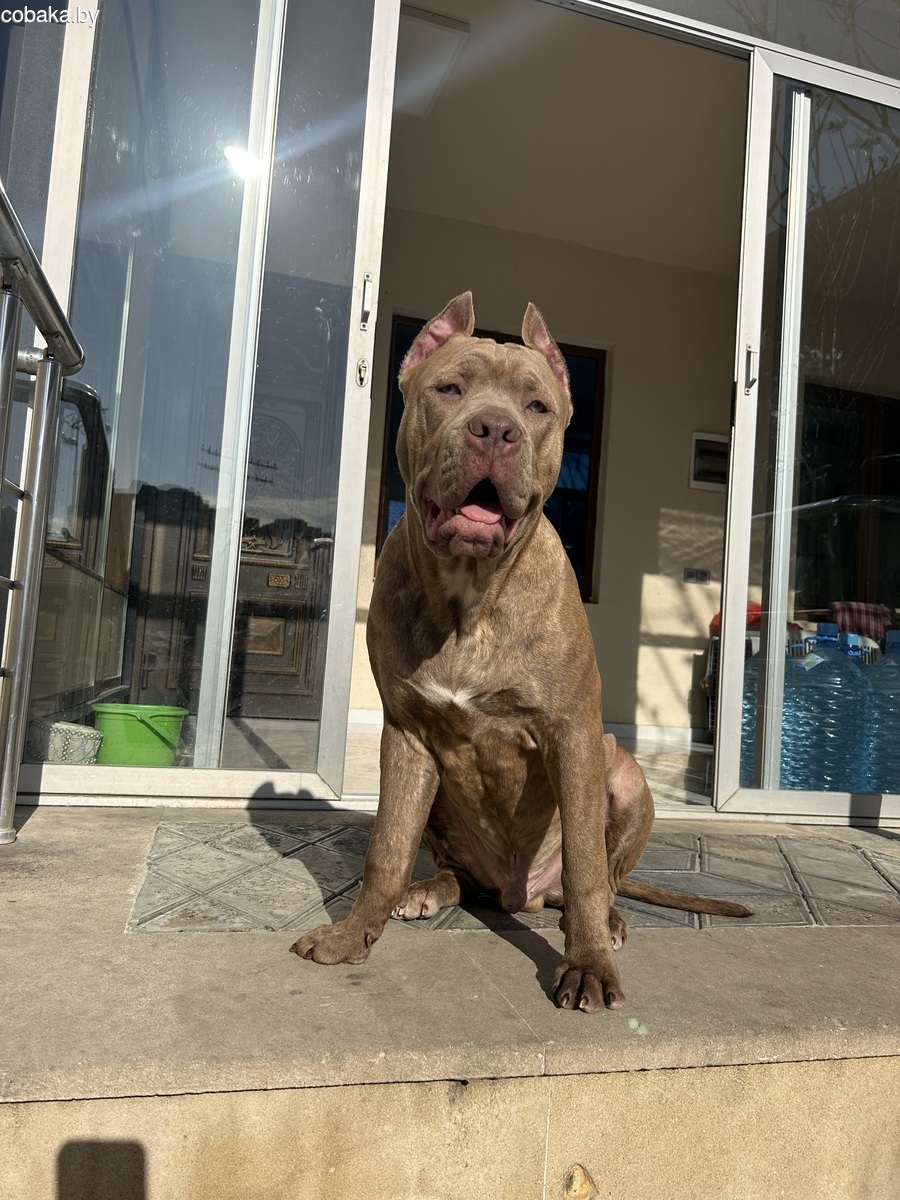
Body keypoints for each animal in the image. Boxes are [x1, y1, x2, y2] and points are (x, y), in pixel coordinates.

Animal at [291, 293, 749, 1011]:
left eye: (536, 407)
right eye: (449, 389)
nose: (494, 429)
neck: (471, 592)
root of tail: (521, 894)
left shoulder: (571, 734)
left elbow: (586, 864)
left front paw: (587, 964)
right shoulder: (407, 735)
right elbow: (385, 848)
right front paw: (350, 935)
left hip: (624, 775)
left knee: (600, 879)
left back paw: (607, 921)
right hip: (441, 793)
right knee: (456, 873)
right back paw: (428, 892)